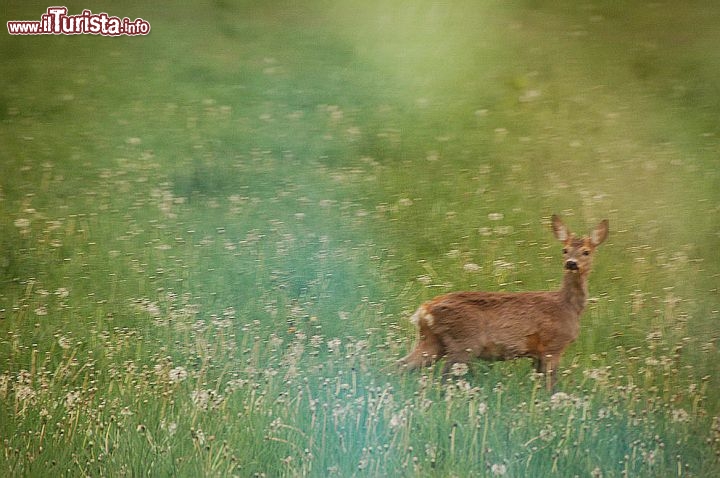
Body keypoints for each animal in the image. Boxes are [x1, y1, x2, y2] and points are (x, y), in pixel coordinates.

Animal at [400, 217, 608, 388]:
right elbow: (551, 385)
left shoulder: (539, 353)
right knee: (444, 377)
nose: (571, 263)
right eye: (565, 250)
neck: (568, 307)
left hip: (432, 341)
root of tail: (424, 311)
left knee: (401, 365)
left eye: (586, 252)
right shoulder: (553, 346)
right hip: (464, 343)